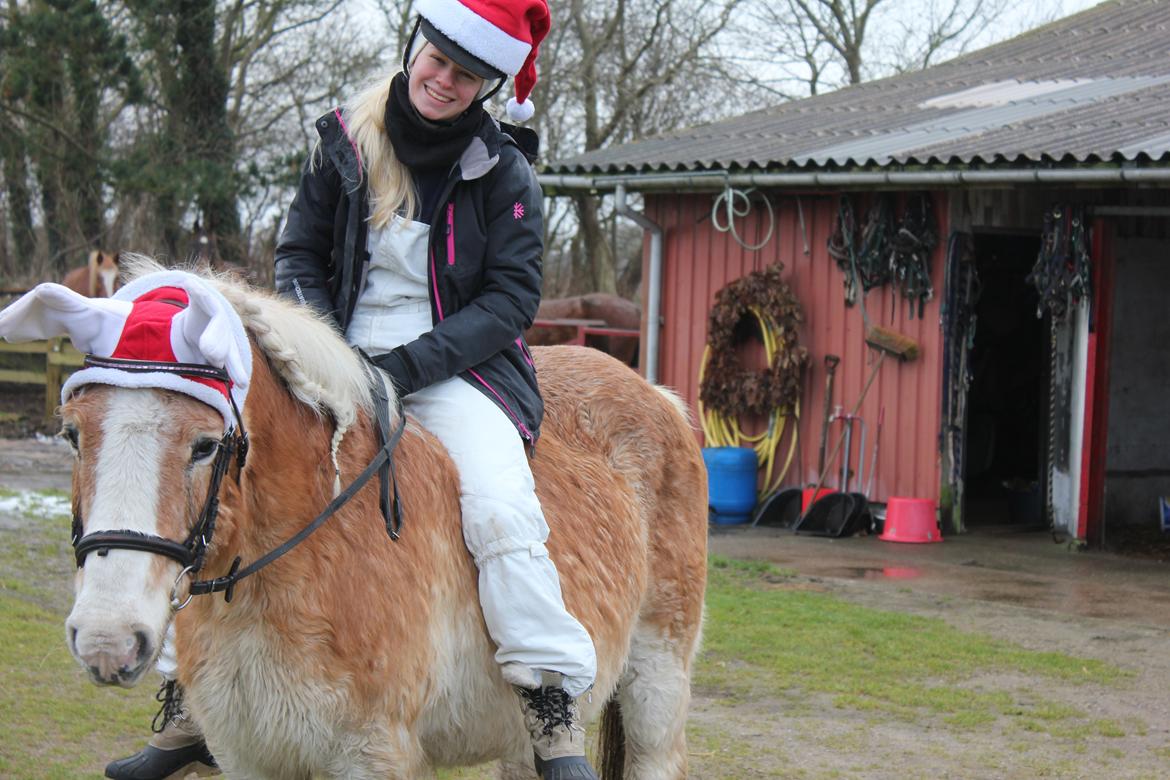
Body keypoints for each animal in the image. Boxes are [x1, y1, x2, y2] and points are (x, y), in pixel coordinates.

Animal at [55, 266, 708, 778]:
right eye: (72, 434)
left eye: (205, 445)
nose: (108, 640)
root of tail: (659, 395)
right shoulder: (250, 755)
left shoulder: (373, 753)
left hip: (656, 680)